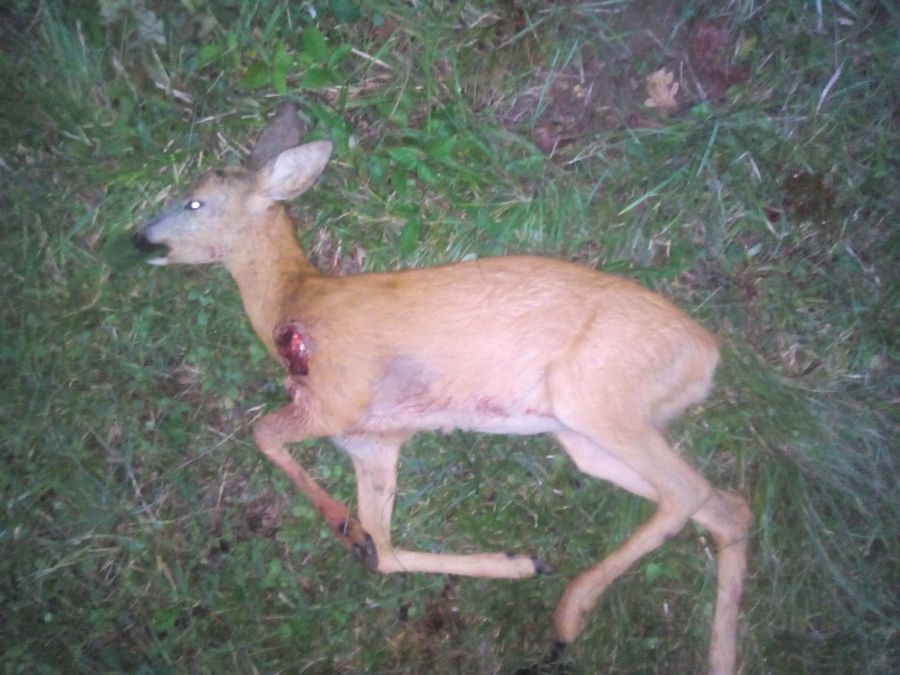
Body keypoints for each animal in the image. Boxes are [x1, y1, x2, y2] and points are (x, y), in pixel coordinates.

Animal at [133, 103, 751, 674]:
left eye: (194, 202)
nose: (140, 239)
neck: (296, 302)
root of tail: (708, 353)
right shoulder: (374, 440)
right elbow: (383, 551)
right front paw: (513, 561)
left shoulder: (339, 398)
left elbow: (262, 434)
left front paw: (340, 523)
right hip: (586, 435)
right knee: (728, 506)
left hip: (596, 393)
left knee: (689, 491)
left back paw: (570, 613)